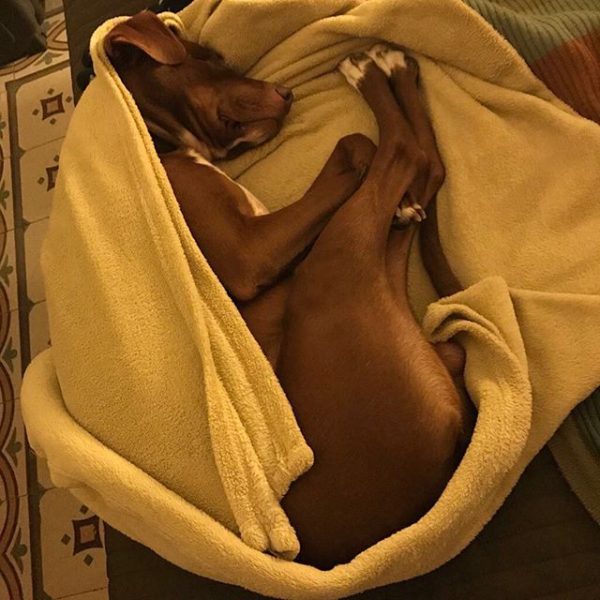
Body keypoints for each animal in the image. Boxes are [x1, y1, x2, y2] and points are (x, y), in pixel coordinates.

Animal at [104, 11, 475, 570]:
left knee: (422, 167)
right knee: (404, 154)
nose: (285, 92)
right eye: (202, 61)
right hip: (335, 268)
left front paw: (404, 203)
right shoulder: (248, 253)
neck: (161, 145)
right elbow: (355, 146)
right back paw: (376, 72)